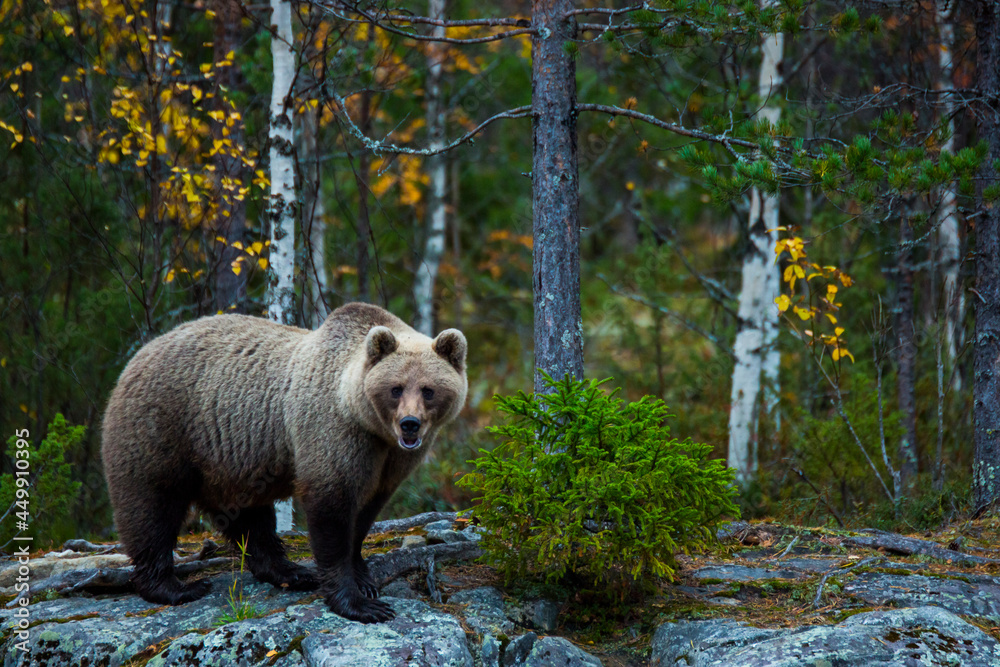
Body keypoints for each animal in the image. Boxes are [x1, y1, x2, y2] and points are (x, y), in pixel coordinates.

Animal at [101, 302, 467, 623]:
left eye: (428, 389)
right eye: (396, 388)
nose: (410, 424)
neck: (367, 422)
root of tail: (137, 355)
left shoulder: (390, 461)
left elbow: (365, 513)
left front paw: (363, 578)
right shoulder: (334, 433)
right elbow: (331, 512)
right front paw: (359, 603)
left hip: (230, 460)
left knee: (249, 518)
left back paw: (291, 571)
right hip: (162, 430)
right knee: (152, 506)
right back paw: (177, 586)